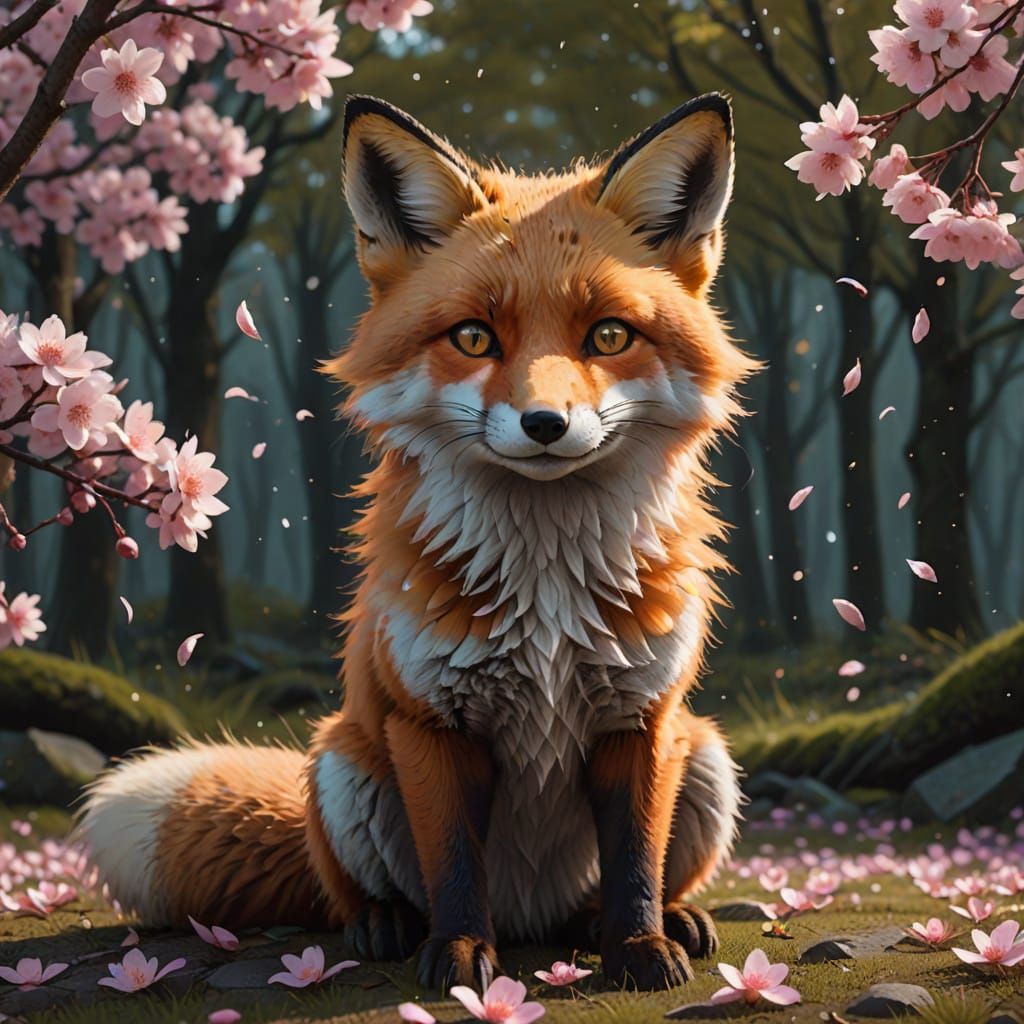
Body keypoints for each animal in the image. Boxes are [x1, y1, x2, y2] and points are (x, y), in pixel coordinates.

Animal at [79, 92, 757, 992]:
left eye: (609, 336)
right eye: (474, 338)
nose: (546, 424)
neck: (546, 592)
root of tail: (532, 918)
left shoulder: (643, 718)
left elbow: (635, 863)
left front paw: (640, 948)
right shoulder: (429, 721)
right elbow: (454, 866)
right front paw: (462, 954)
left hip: (705, 753)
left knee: (615, 889)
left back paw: (648, 922)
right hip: (344, 765)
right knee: (360, 891)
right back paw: (386, 925)